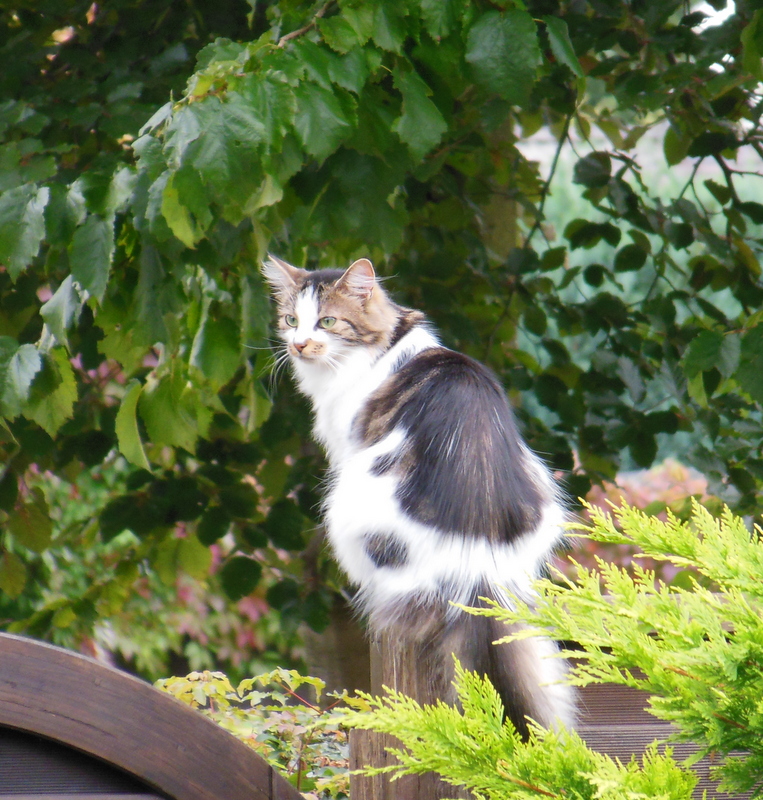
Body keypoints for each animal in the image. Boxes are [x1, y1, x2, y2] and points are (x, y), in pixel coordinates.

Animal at [262, 253, 572, 736]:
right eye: (291, 320)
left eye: (328, 322)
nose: (299, 345)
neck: (382, 346)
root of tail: (474, 563)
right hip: (542, 495)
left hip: (345, 505)